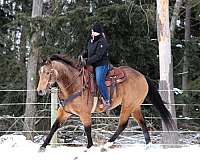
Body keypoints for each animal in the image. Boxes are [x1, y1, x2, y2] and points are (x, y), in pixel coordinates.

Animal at [37, 54, 175, 151]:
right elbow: (54, 126)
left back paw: (107, 145)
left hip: (128, 105)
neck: (74, 84)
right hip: (135, 106)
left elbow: (87, 129)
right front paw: (42, 146)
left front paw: (89, 147)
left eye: (48, 72)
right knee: (142, 122)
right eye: (40, 72)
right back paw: (148, 145)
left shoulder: (85, 114)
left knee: (123, 124)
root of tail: (142, 76)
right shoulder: (64, 111)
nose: (40, 91)